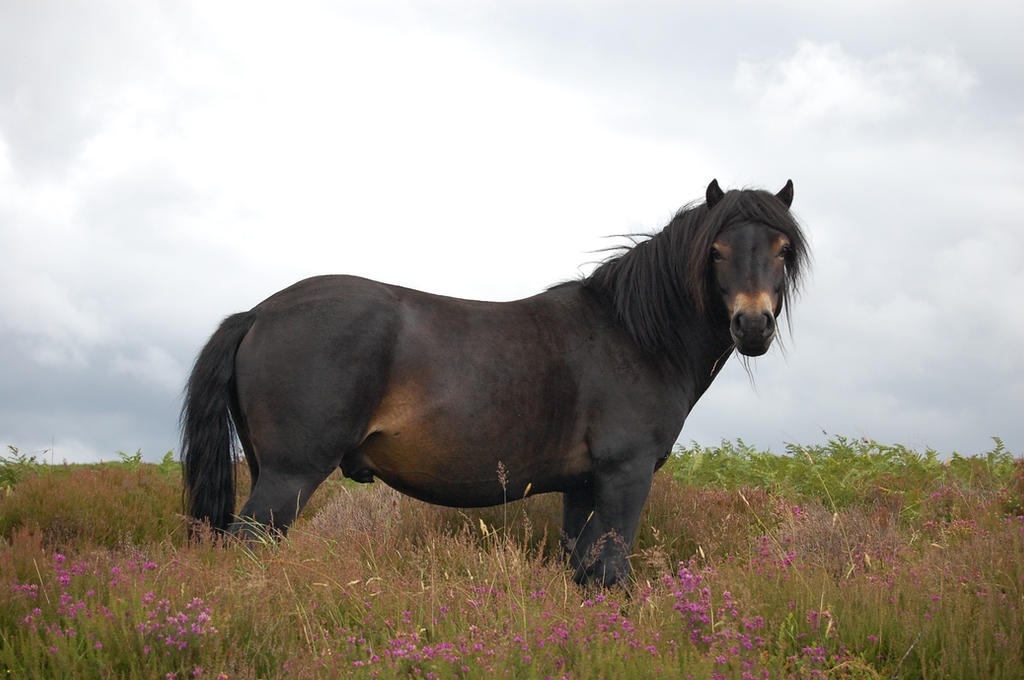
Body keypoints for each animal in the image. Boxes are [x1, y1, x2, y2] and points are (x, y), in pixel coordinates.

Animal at [182, 179, 806, 585]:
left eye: (782, 249)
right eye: (716, 251)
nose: (752, 325)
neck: (633, 335)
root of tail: (258, 313)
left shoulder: (583, 487)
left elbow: (581, 572)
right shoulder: (624, 476)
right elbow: (610, 574)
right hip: (289, 476)